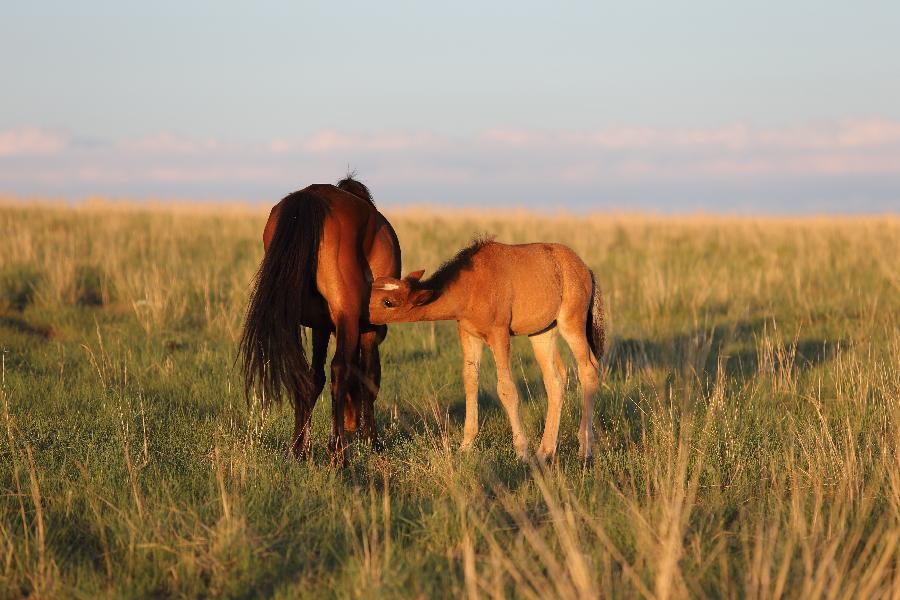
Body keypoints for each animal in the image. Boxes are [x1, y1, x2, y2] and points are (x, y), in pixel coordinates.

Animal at [243, 173, 404, 464]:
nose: (352, 425)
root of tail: (311, 197)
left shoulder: (320, 327)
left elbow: (315, 378)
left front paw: (301, 449)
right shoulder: (368, 329)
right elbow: (369, 377)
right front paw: (372, 440)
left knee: (303, 374)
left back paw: (299, 447)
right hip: (347, 317)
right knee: (339, 368)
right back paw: (338, 451)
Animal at [366, 237, 604, 462]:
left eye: (388, 302)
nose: (361, 314)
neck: (471, 285)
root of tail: (586, 269)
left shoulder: (499, 335)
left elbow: (506, 389)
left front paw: (521, 451)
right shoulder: (469, 335)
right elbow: (471, 381)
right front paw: (465, 446)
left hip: (571, 323)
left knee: (588, 370)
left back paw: (585, 448)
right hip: (542, 333)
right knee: (555, 380)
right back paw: (545, 451)